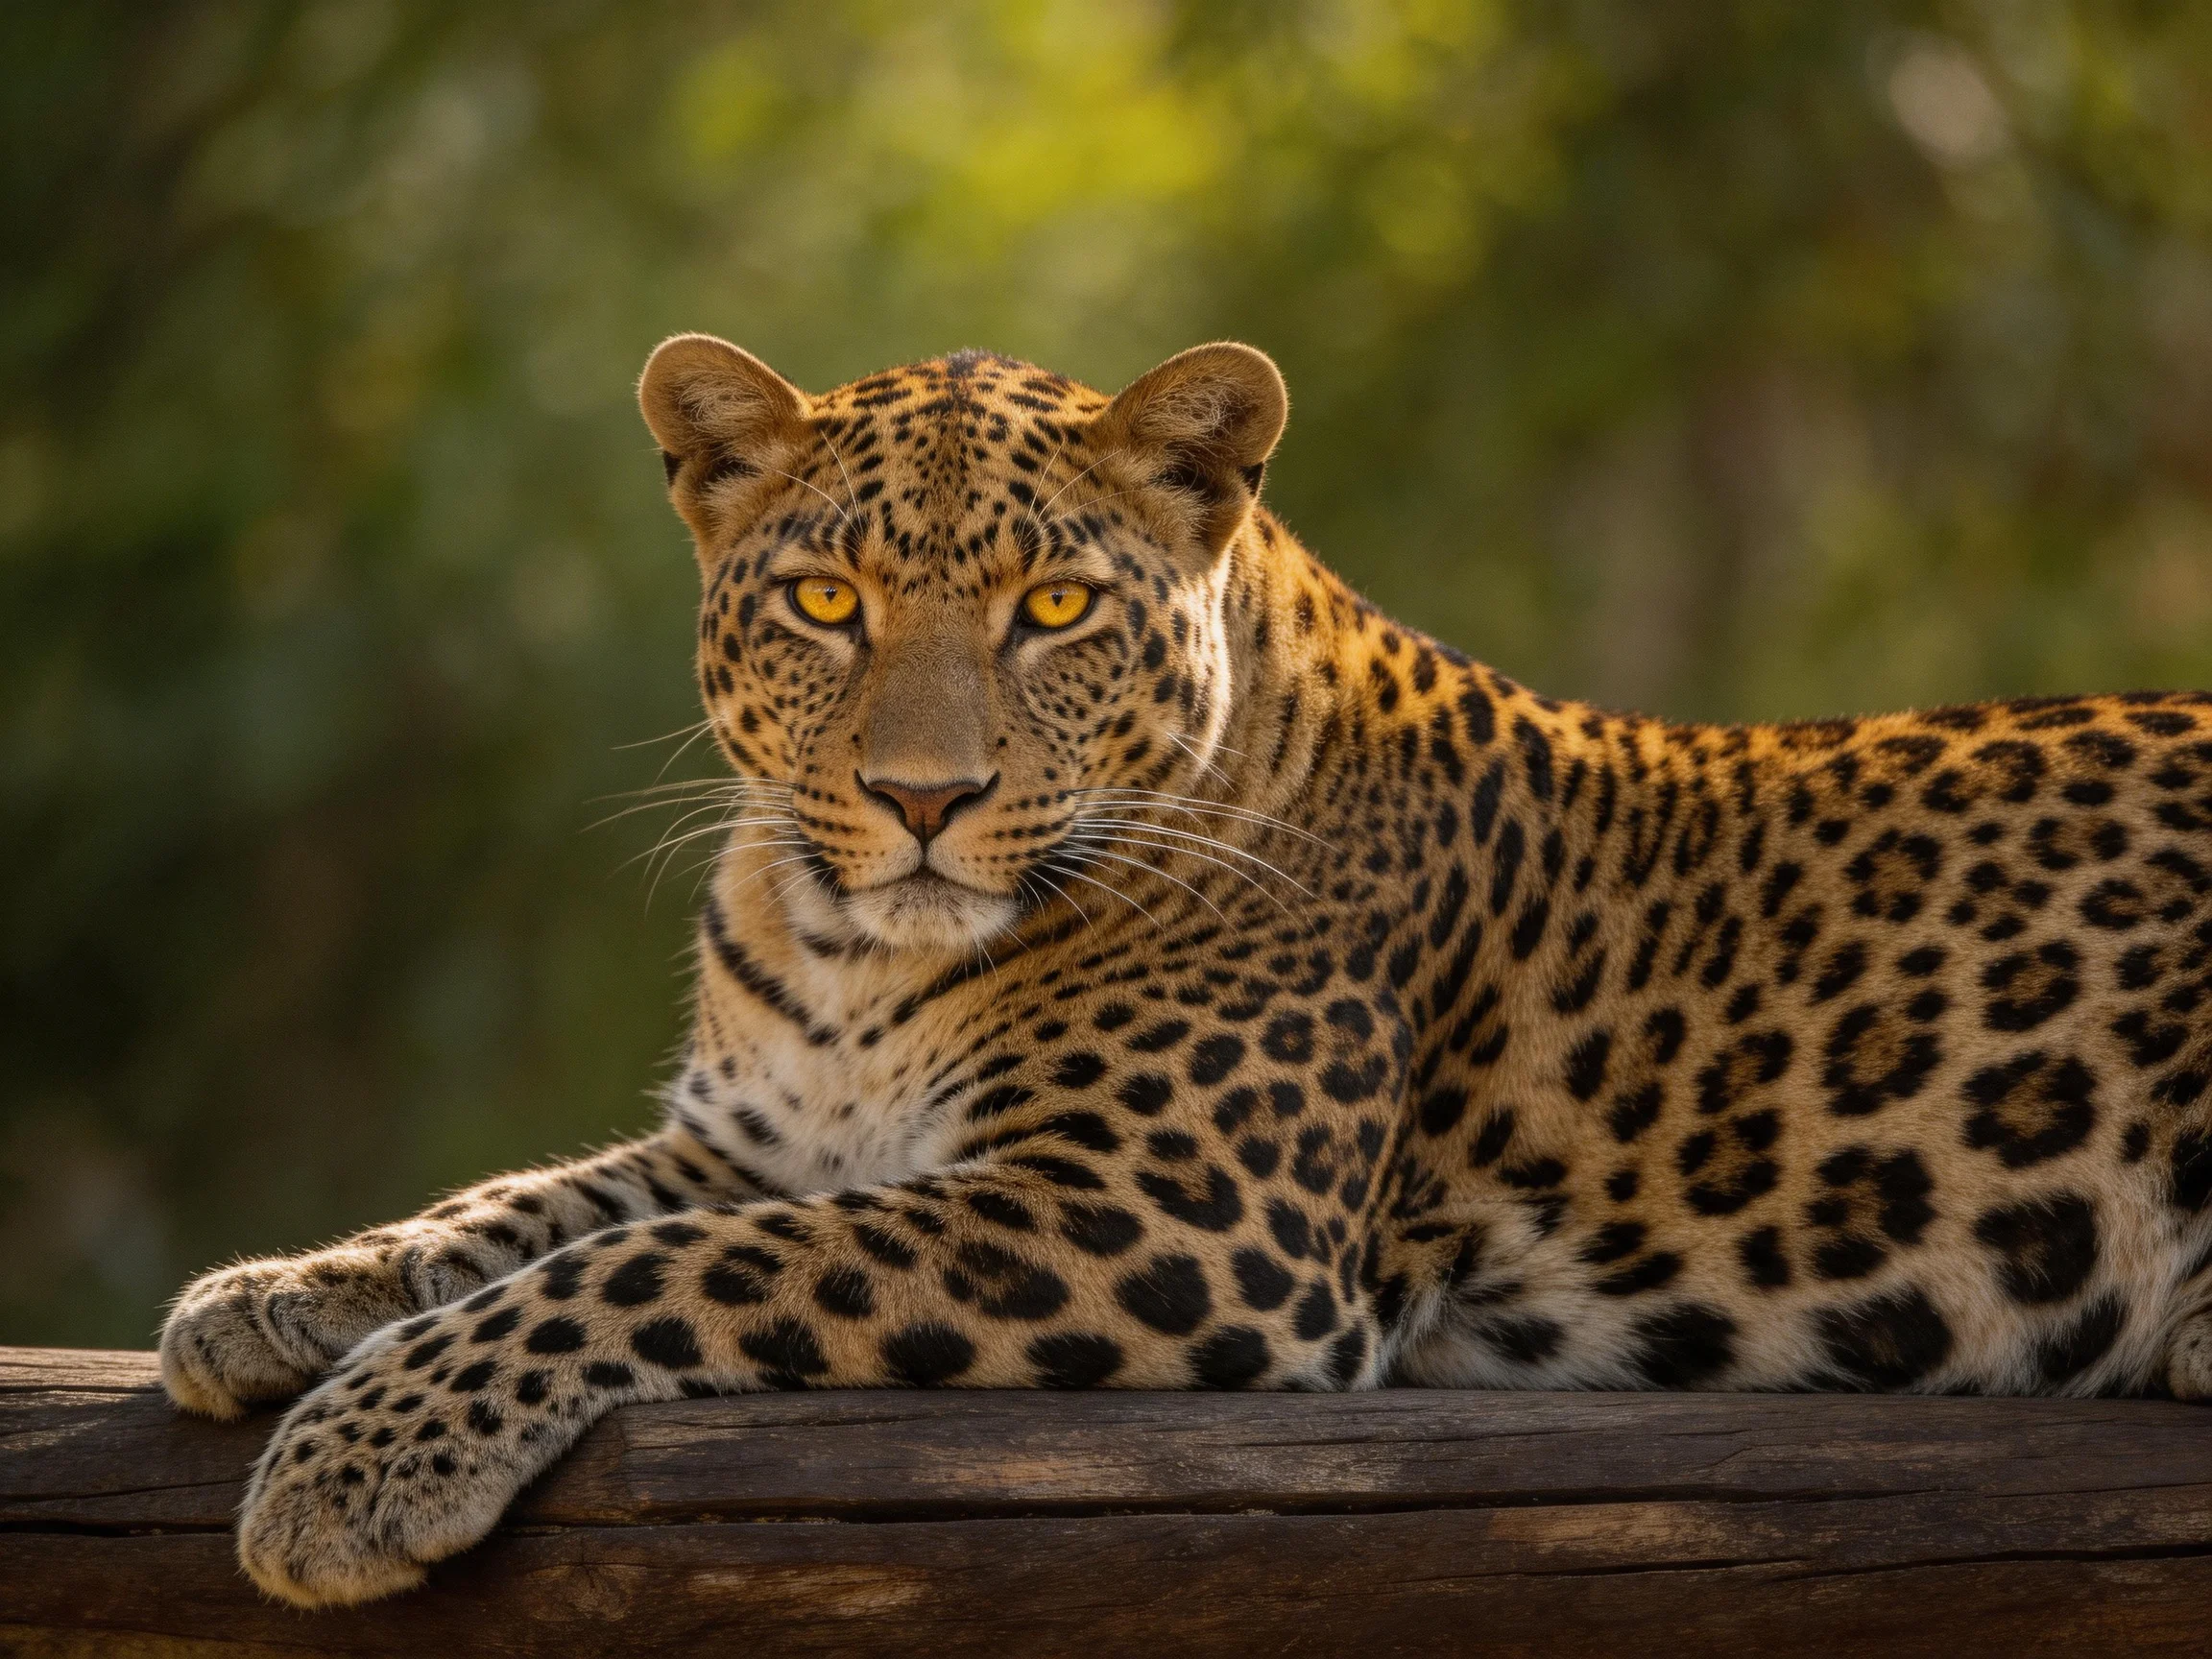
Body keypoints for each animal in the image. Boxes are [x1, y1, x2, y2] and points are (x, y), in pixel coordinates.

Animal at [158, 334, 2212, 1609]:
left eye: (1053, 608)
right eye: (823, 601)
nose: (920, 799)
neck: (851, 950)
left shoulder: (1167, 1213)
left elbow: (670, 1266)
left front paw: (356, 1462)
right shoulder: (749, 1131)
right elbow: (521, 1210)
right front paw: (274, 1295)